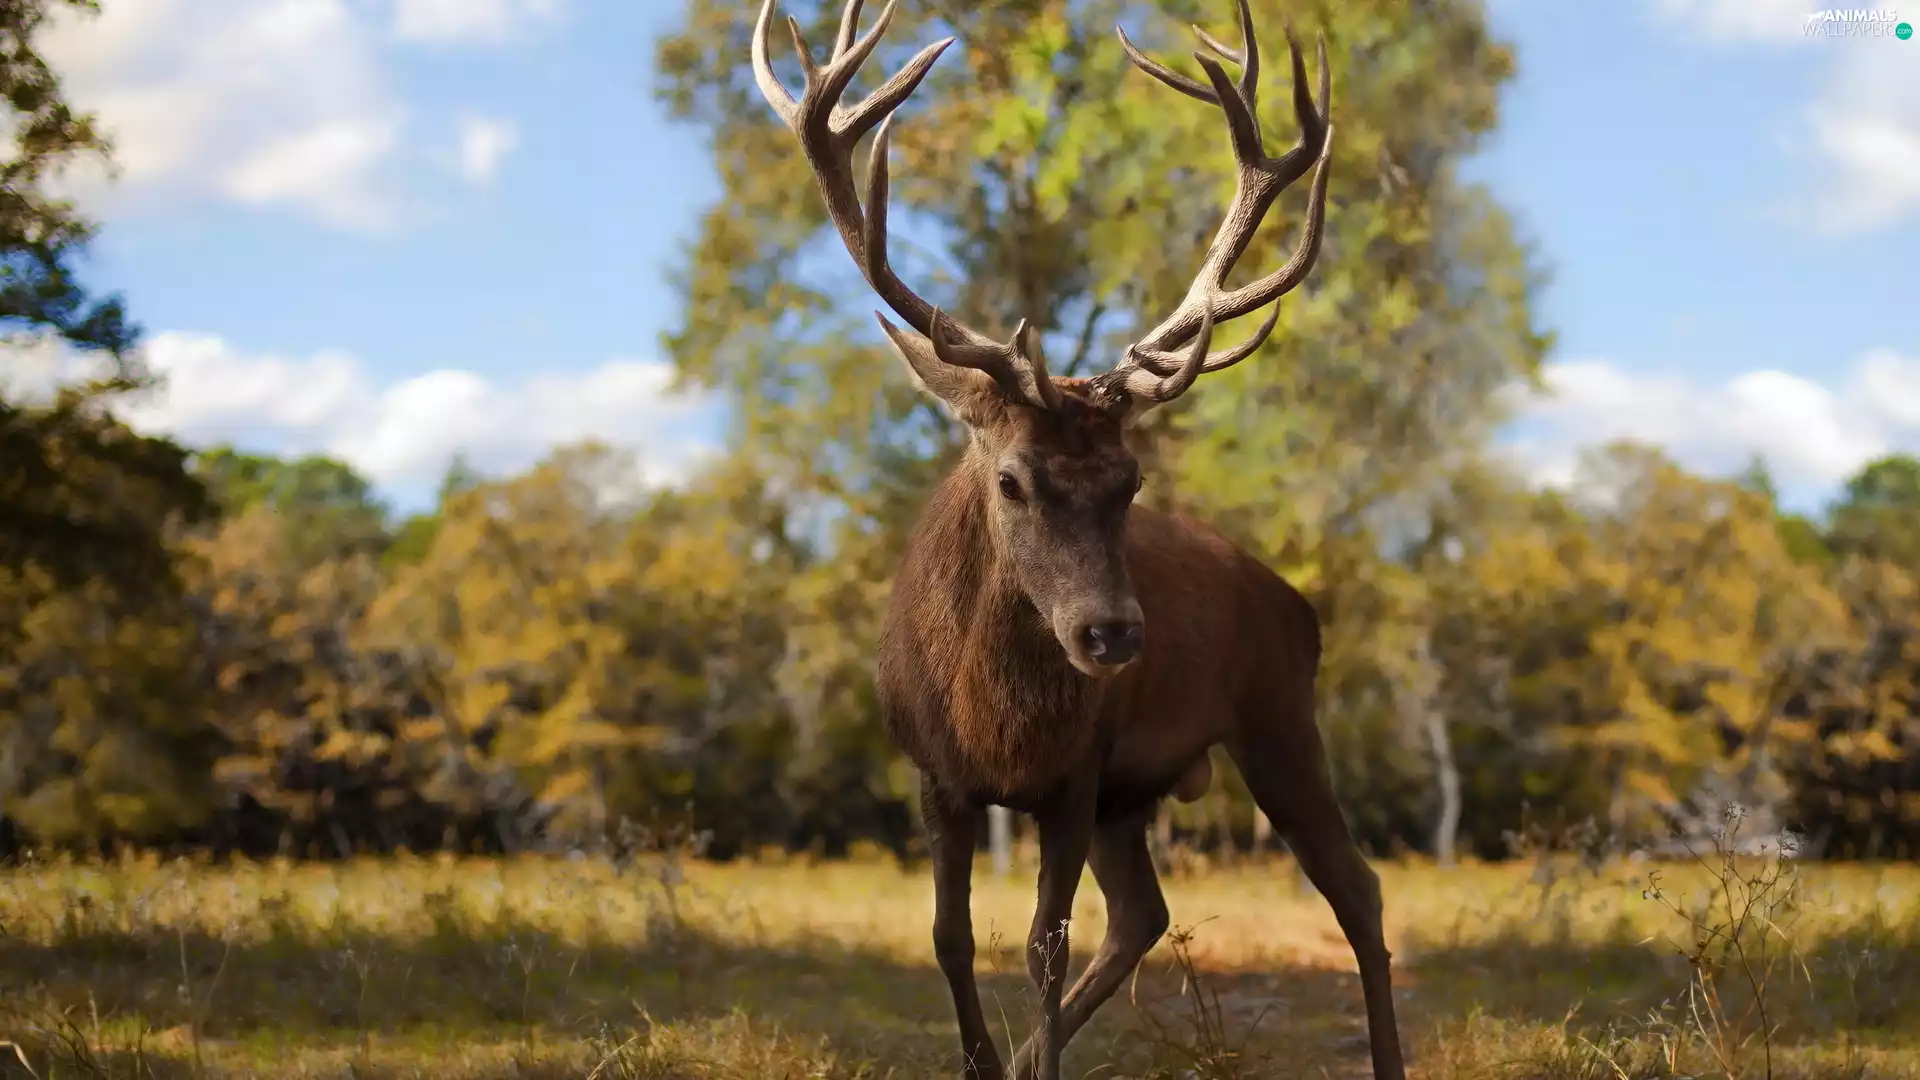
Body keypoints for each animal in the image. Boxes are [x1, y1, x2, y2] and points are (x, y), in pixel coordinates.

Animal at [748, 1, 1405, 1077]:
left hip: (1278, 717)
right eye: (1012, 479)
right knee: (1145, 914)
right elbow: (950, 936)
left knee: (1356, 888)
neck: (994, 726)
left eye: (1130, 482)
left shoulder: (1075, 774)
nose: (1111, 634)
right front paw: (985, 1063)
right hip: (1137, 796)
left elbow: (1042, 949)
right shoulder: (937, 774)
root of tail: (1296, 601)